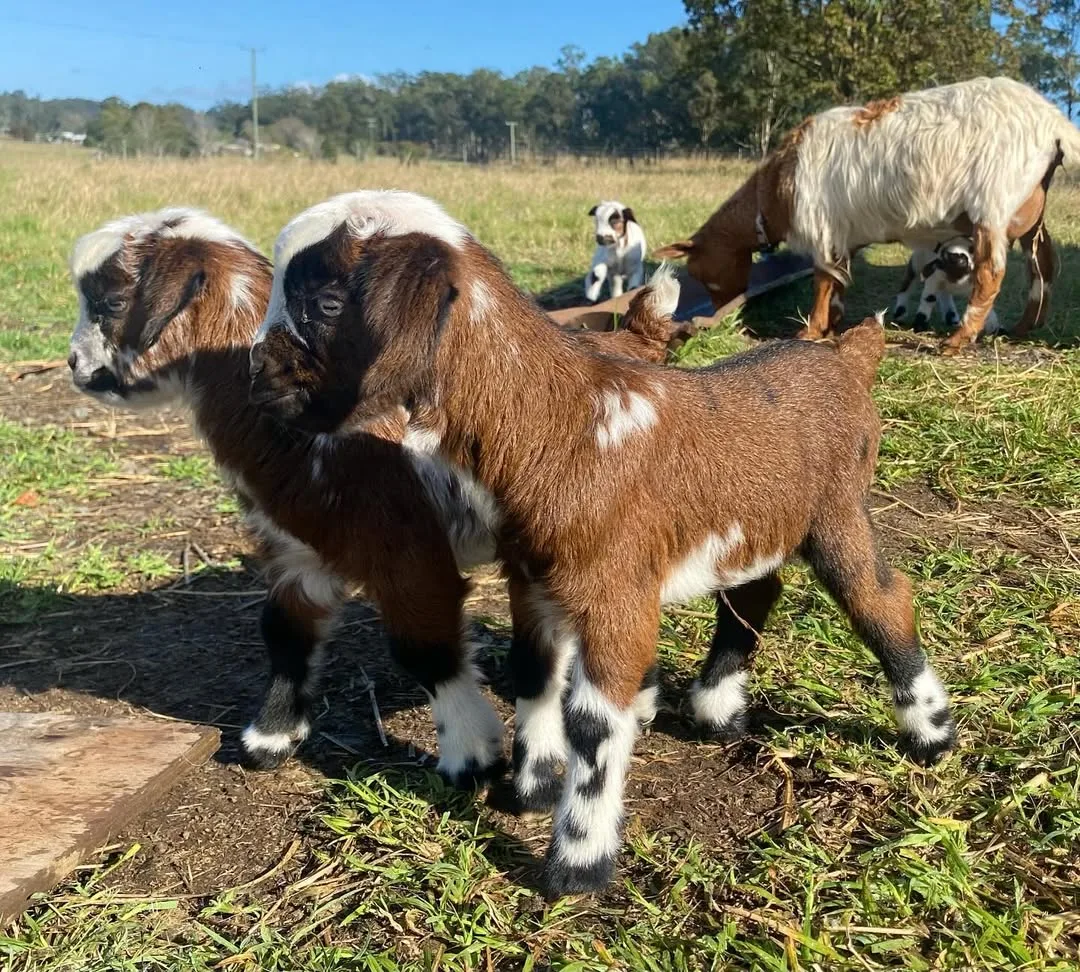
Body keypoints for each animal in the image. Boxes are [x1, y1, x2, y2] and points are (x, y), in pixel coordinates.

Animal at [249, 190, 958, 897]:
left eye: (328, 304)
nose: (258, 372)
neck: (557, 422)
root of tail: (847, 357)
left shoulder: (613, 588)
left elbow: (591, 723)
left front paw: (578, 863)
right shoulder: (533, 579)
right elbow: (534, 672)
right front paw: (531, 789)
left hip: (837, 507)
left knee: (880, 597)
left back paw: (931, 733)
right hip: (755, 520)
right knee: (758, 589)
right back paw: (717, 710)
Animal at [655, 77, 1072, 354]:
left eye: (700, 273)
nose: (717, 309)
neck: (775, 187)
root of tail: (1054, 122)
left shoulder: (822, 227)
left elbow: (823, 281)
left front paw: (810, 331)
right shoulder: (844, 235)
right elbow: (839, 282)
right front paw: (832, 326)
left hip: (993, 200)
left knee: (991, 273)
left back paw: (957, 340)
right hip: (1030, 206)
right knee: (1043, 262)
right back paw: (1024, 326)